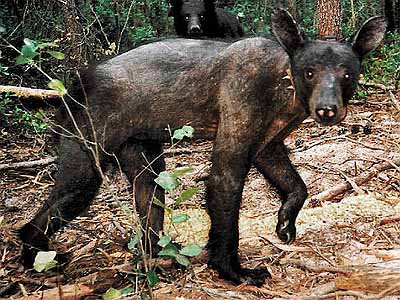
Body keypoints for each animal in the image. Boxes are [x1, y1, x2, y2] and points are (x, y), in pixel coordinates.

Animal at [20, 8, 386, 286]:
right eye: (310, 72)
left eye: (347, 74)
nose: (327, 109)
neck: (285, 89)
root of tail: (75, 83)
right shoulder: (234, 142)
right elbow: (226, 215)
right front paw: (233, 272)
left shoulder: (267, 145)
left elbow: (298, 185)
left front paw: (285, 224)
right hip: (85, 162)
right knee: (39, 218)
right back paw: (38, 260)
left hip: (145, 158)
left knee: (149, 208)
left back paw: (162, 255)